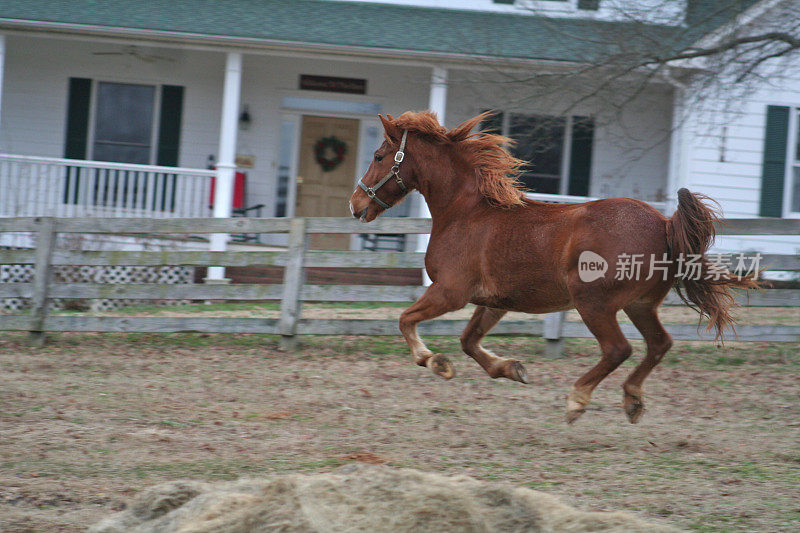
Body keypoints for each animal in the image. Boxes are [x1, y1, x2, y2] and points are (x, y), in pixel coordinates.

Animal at [348, 112, 756, 424]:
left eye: (379, 155)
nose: (355, 205)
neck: (467, 212)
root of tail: (663, 223)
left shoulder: (450, 292)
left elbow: (406, 320)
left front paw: (434, 362)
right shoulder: (494, 302)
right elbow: (468, 341)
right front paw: (512, 369)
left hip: (593, 302)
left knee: (618, 349)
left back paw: (577, 400)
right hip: (639, 305)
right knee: (659, 343)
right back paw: (632, 400)